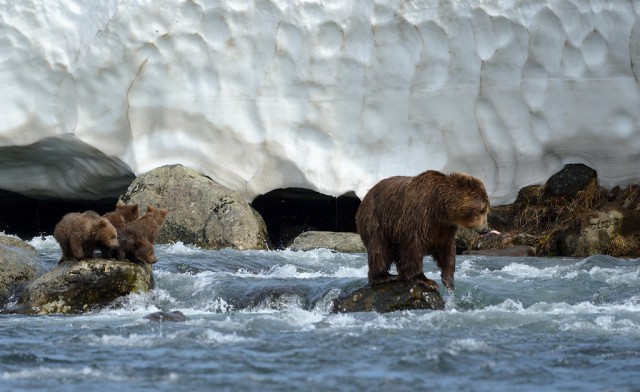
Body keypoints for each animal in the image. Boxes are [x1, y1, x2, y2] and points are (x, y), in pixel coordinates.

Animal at [356, 171, 490, 290]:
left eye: (487, 210)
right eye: (482, 210)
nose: (485, 229)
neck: (439, 207)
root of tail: (367, 194)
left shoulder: (443, 227)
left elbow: (446, 248)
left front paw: (449, 281)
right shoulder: (419, 214)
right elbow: (413, 245)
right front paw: (427, 281)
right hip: (376, 218)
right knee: (380, 248)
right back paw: (384, 277)